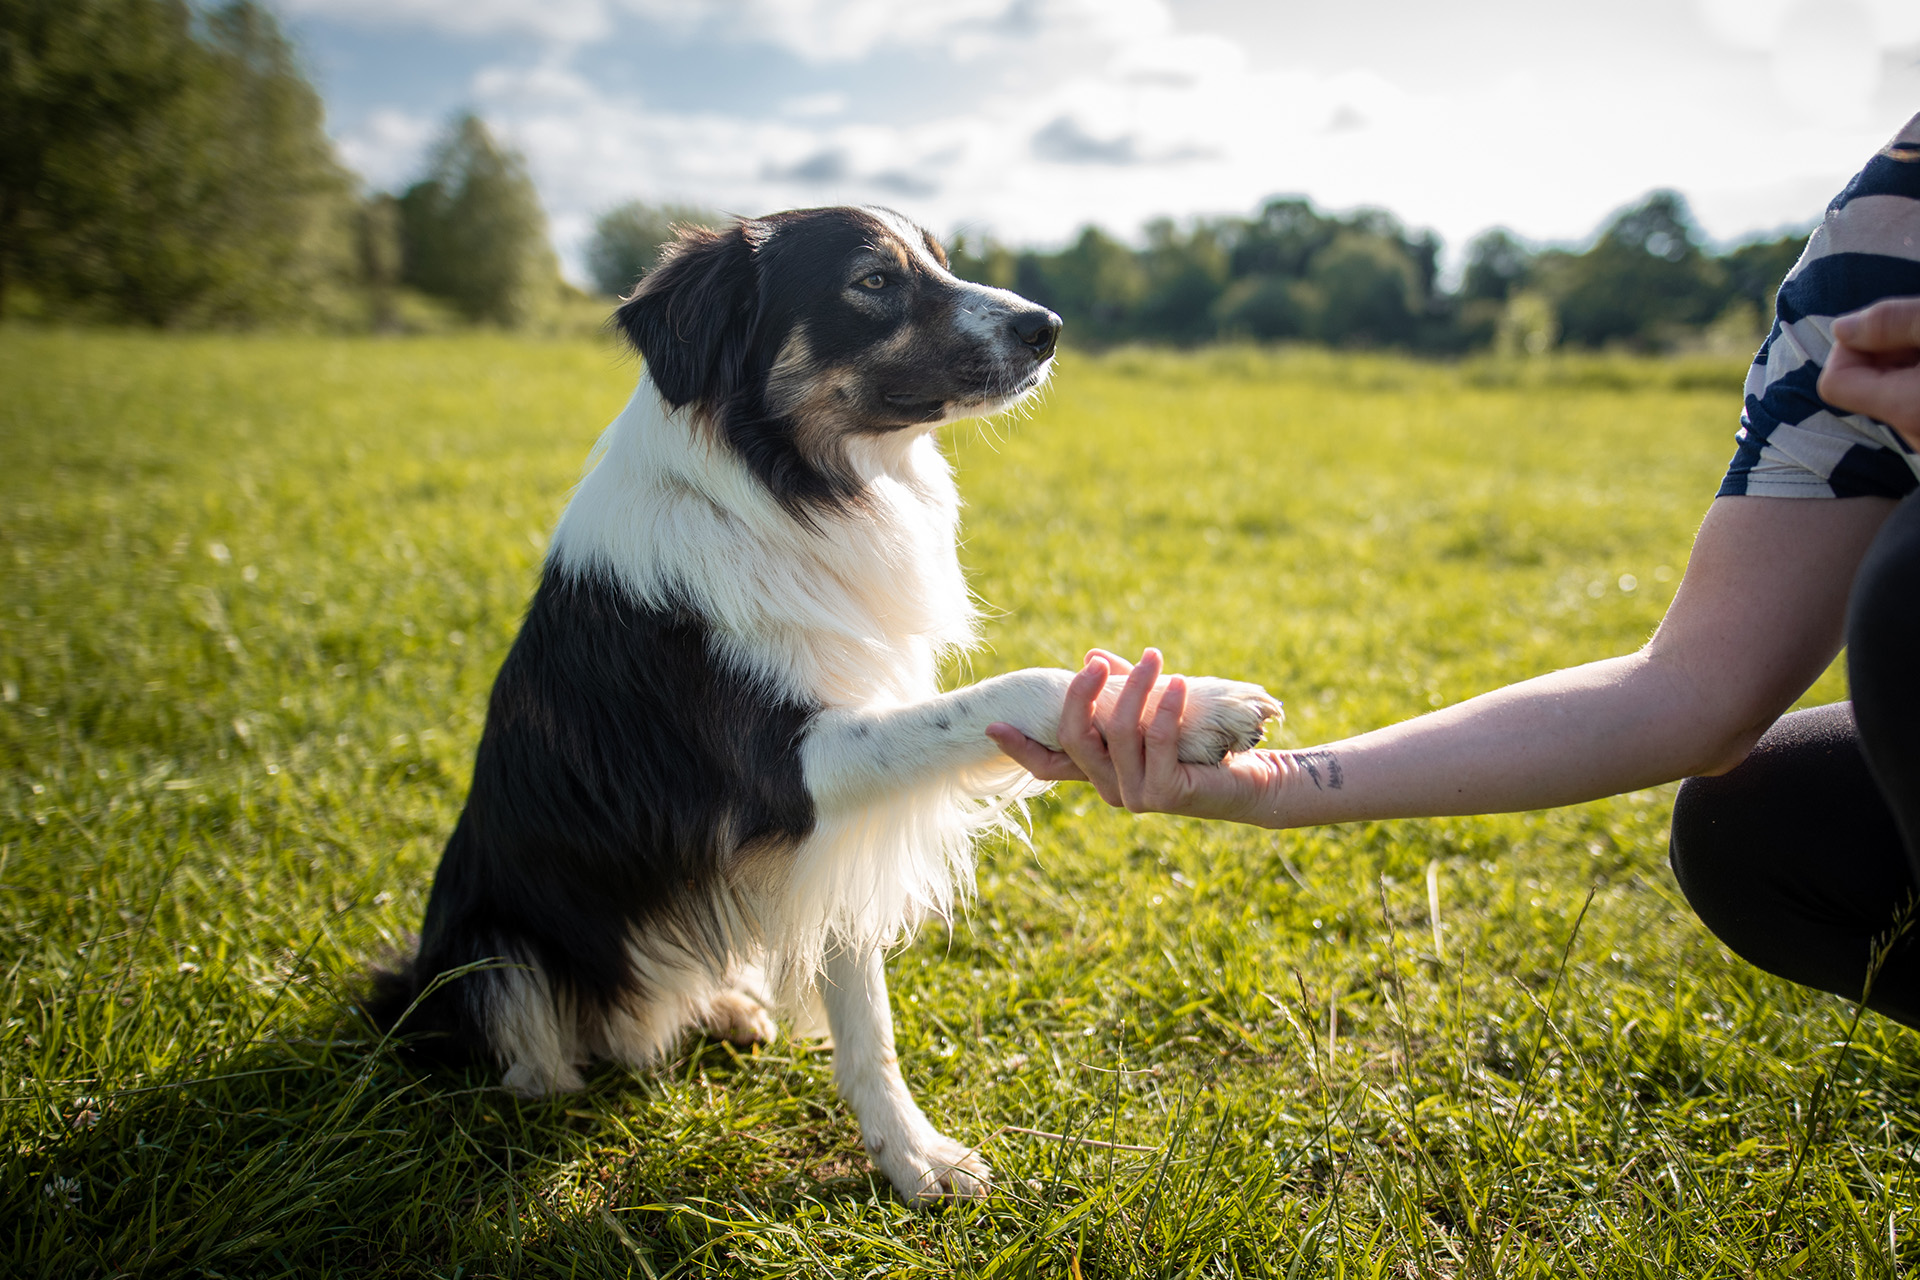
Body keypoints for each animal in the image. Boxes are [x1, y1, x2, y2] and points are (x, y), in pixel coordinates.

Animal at [366, 205, 1282, 1205]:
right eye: (873, 282)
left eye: (941, 263)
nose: (1048, 328)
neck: (791, 487)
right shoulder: (786, 773)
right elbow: (1016, 688)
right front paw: (1186, 711)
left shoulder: (830, 830)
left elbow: (864, 1017)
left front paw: (911, 1157)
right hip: (494, 952)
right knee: (532, 1048)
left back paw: (725, 1006)